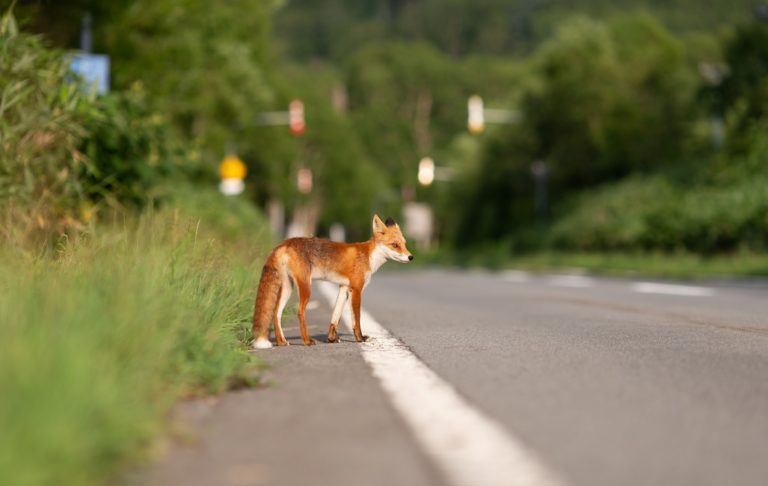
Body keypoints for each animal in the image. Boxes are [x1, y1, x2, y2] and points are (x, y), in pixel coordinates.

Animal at [250, 215, 414, 348]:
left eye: (404, 244)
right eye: (395, 245)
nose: (411, 257)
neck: (369, 257)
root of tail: (284, 243)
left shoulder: (344, 287)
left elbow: (336, 315)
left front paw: (331, 339)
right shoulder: (356, 289)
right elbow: (356, 319)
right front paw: (360, 338)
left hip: (288, 287)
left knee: (276, 313)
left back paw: (281, 342)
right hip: (306, 287)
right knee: (299, 312)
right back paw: (306, 341)